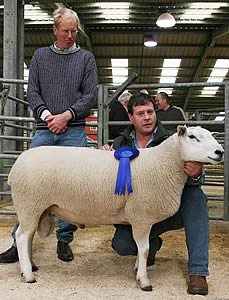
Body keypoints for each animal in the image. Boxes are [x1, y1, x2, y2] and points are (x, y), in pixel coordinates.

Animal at [8, 126, 224, 290]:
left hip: (33, 207)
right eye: (193, 137)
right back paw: (28, 275)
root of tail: (16, 165)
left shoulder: (145, 217)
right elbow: (144, 249)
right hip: (29, 204)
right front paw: (144, 281)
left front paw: (138, 269)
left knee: (27, 237)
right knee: (22, 237)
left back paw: (30, 266)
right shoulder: (141, 214)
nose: (220, 152)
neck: (162, 163)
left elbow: (144, 247)